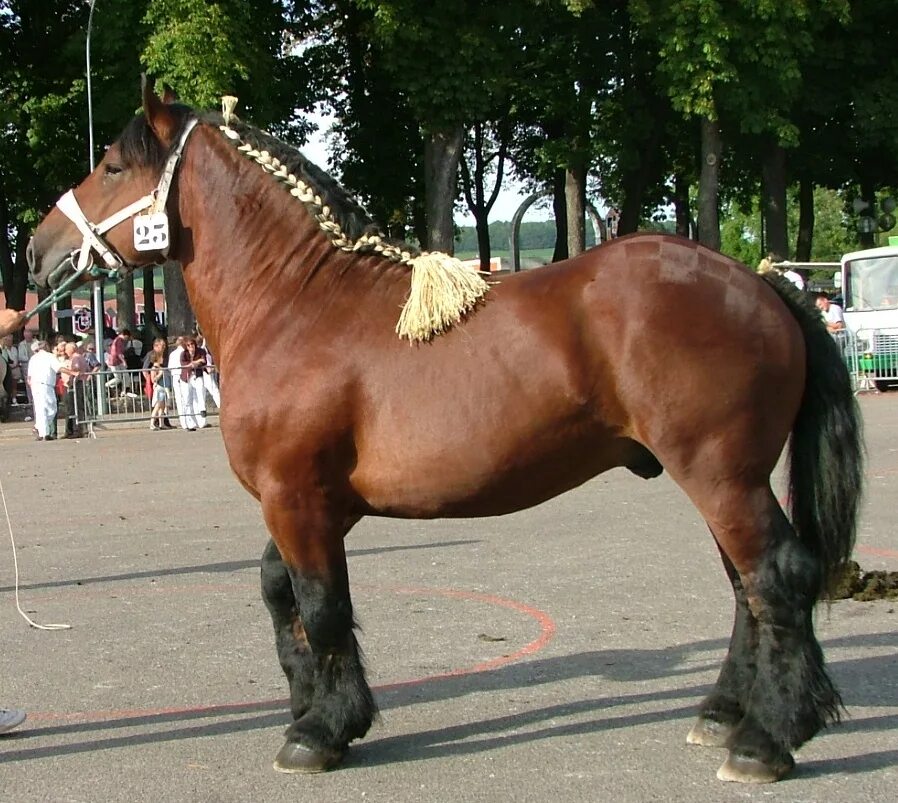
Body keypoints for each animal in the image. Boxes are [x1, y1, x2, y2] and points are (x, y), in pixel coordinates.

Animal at [26, 78, 860, 784]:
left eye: (110, 165)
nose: (36, 251)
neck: (298, 304)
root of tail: (761, 283)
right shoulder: (320, 503)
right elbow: (280, 590)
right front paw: (314, 705)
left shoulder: (297, 497)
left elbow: (322, 604)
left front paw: (320, 731)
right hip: (725, 479)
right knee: (746, 588)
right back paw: (725, 714)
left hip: (720, 475)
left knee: (774, 577)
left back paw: (766, 740)